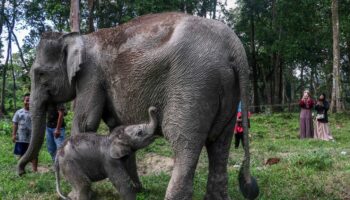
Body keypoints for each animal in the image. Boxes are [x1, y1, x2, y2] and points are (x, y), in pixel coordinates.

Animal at [17, 12, 258, 200]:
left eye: (40, 74)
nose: (21, 172)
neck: (79, 37)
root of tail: (235, 48)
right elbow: (117, 128)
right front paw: (137, 188)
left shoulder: (91, 76)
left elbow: (85, 123)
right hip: (229, 92)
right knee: (220, 143)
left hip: (193, 83)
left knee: (184, 142)